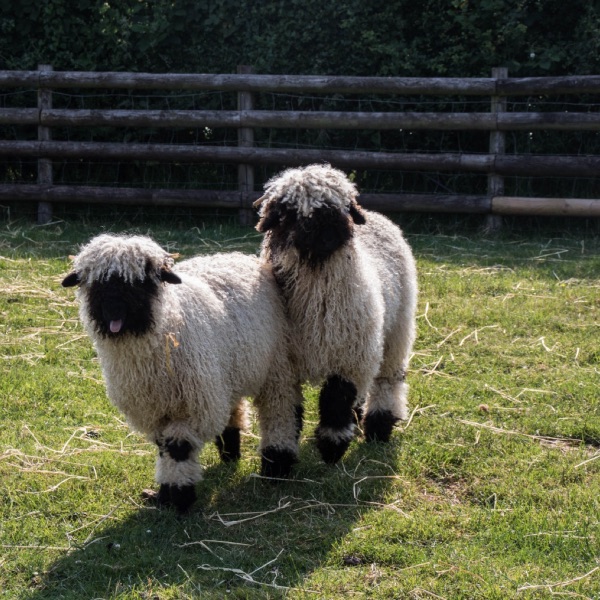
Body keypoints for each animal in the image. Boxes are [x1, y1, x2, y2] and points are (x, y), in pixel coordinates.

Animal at [62, 234, 302, 510]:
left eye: (142, 281)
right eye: (95, 283)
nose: (113, 309)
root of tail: (236, 256)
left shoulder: (191, 407)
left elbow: (178, 449)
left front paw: (179, 497)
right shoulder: (157, 410)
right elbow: (163, 448)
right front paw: (165, 494)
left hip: (277, 365)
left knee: (280, 410)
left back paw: (276, 466)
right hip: (228, 371)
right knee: (234, 406)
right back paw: (230, 451)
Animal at [255, 164, 420, 464]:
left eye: (340, 207)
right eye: (289, 212)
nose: (326, 229)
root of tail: (377, 216)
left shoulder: (348, 359)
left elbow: (335, 401)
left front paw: (332, 448)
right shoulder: (281, 367)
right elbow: (284, 411)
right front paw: (279, 460)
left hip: (397, 329)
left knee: (388, 379)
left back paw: (379, 425)